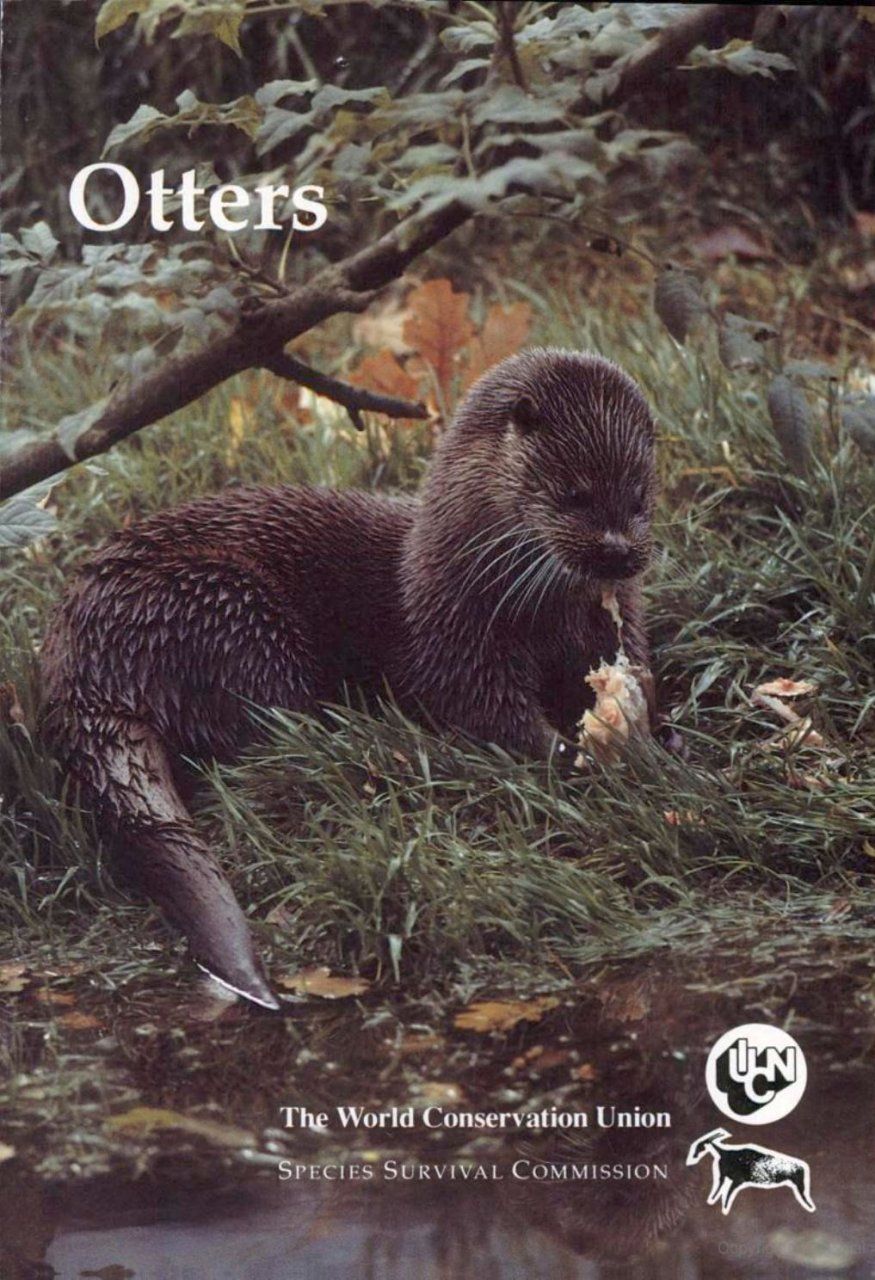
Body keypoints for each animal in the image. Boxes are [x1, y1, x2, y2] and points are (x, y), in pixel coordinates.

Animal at [40, 349, 657, 1009]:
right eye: (574, 494)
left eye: (639, 497)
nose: (619, 552)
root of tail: (82, 653)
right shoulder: (456, 637)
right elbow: (484, 709)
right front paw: (569, 755)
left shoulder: (611, 625)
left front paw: (649, 741)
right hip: (230, 610)